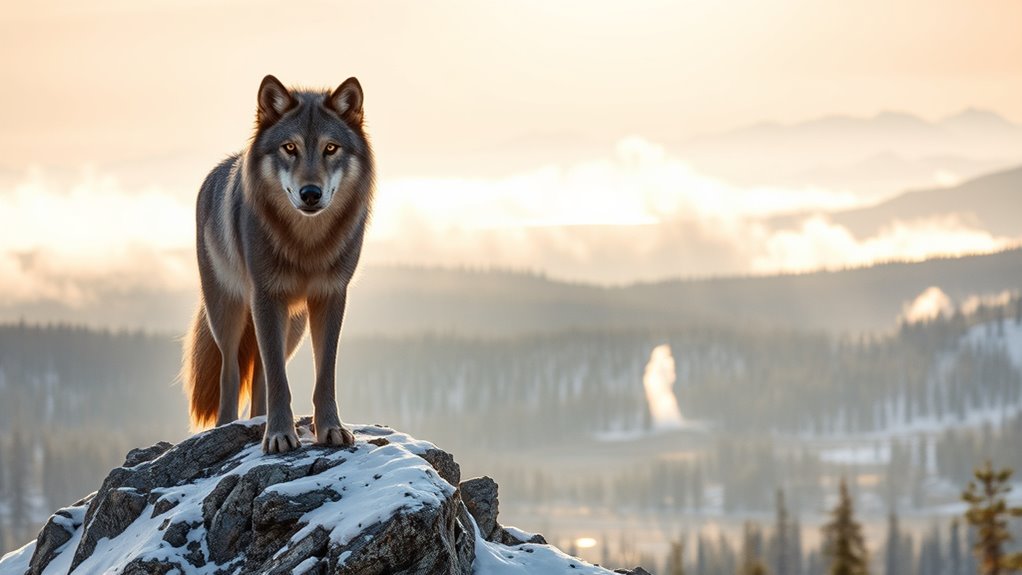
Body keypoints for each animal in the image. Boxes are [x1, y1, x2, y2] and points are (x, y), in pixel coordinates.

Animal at [182, 75, 374, 453]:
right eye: (289, 148)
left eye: (331, 148)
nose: (310, 194)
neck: (307, 243)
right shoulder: (266, 297)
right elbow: (276, 382)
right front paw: (279, 436)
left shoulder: (331, 296)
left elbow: (323, 374)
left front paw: (330, 429)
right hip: (228, 313)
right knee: (232, 373)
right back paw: (229, 427)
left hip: (293, 327)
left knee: (260, 377)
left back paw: (257, 421)